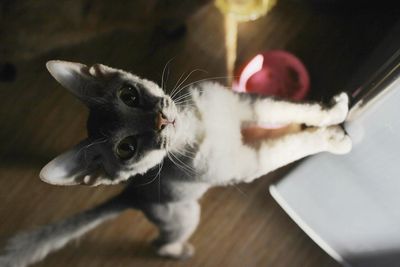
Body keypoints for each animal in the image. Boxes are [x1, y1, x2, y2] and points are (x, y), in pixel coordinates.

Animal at [0, 60, 350, 267]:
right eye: (126, 148)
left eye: (129, 95)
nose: (161, 119)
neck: (198, 125)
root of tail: (131, 194)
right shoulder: (248, 162)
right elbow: (289, 147)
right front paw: (333, 138)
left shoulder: (246, 104)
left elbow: (286, 109)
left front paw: (332, 111)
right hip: (186, 216)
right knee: (160, 245)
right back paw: (180, 253)